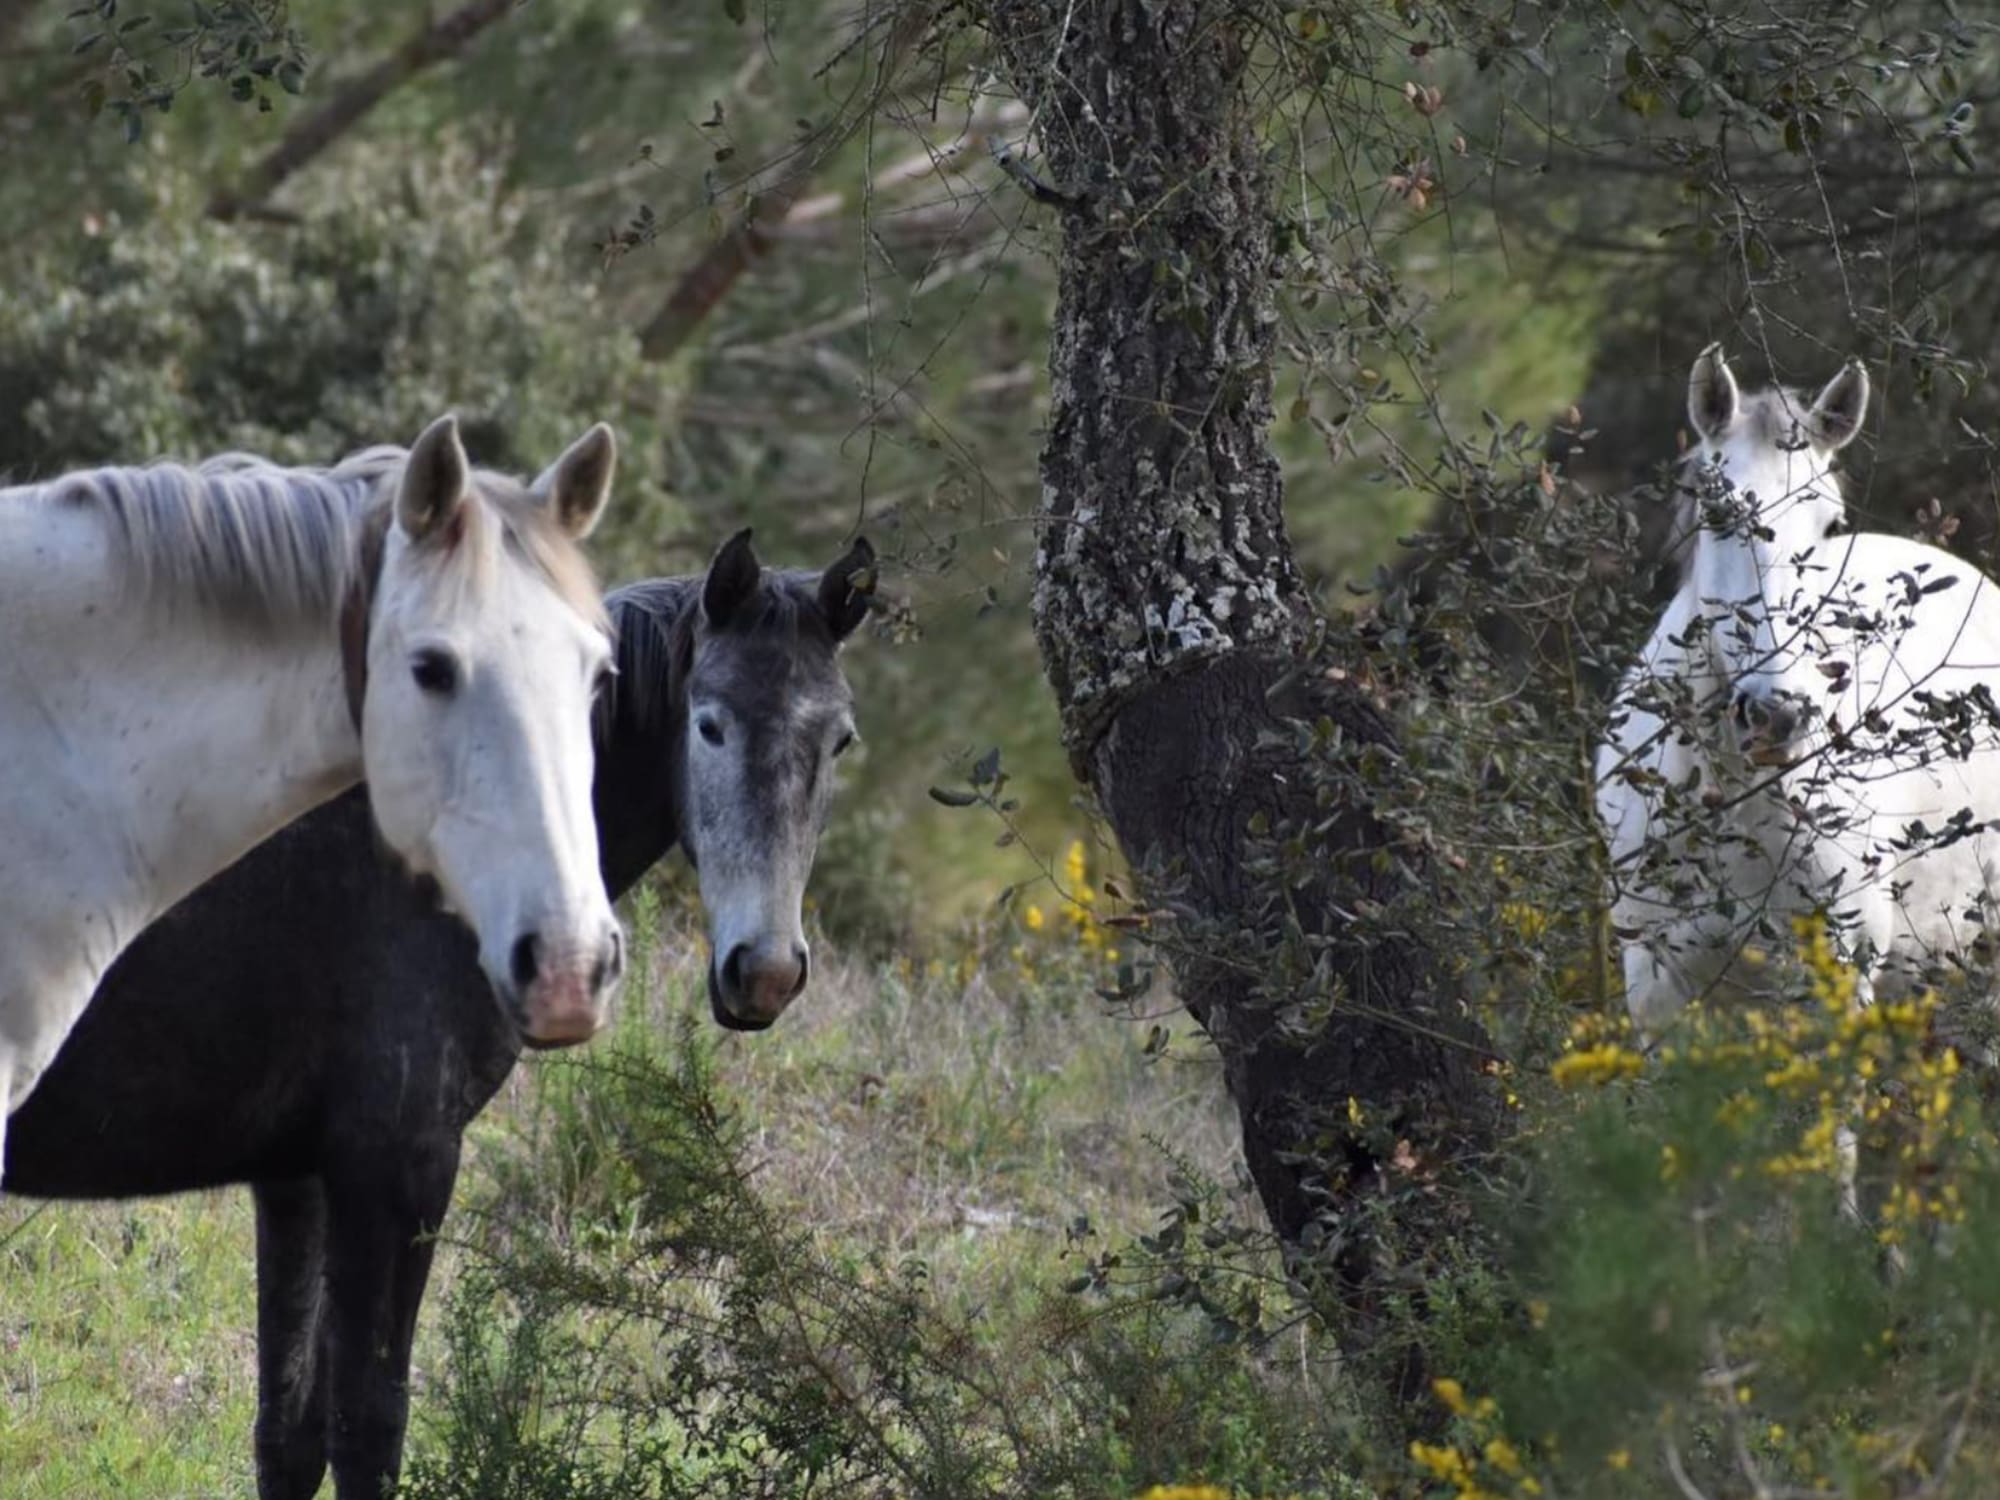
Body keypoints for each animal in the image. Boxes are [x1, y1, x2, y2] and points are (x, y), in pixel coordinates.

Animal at [3, 528, 874, 1500]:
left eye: (840, 740)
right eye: (709, 723)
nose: (765, 971)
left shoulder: (298, 1176)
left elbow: (289, 1434)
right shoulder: (399, 1165)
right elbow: (368, 1428)